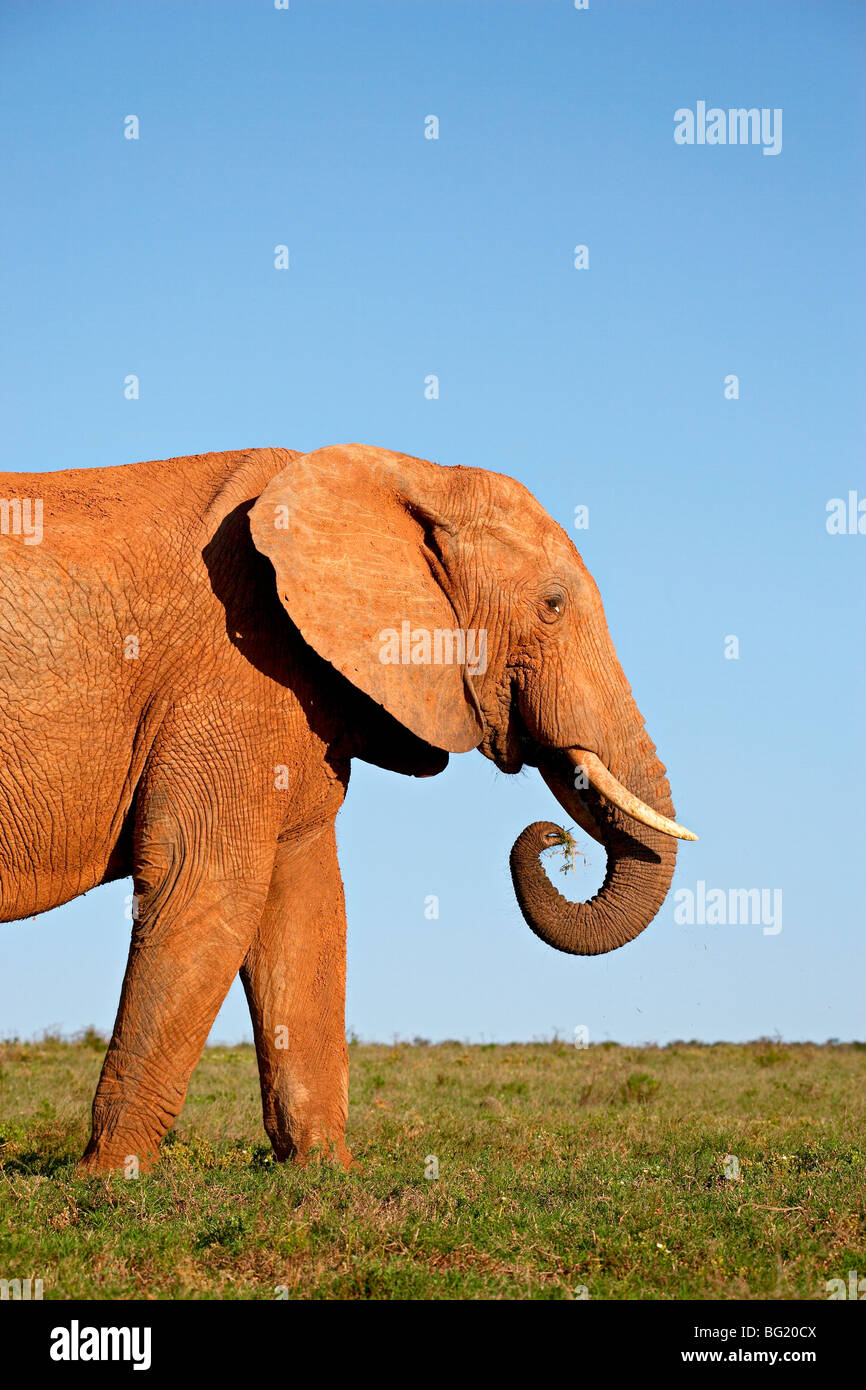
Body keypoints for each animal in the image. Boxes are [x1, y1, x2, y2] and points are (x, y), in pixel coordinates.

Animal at [0, 444, 695, 1173]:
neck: (412, 474)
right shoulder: (231, 670)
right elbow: (206, 880)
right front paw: (106, 1181)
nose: (554, 839)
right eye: (552, 605)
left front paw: (324, 1175)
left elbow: (305, 902)